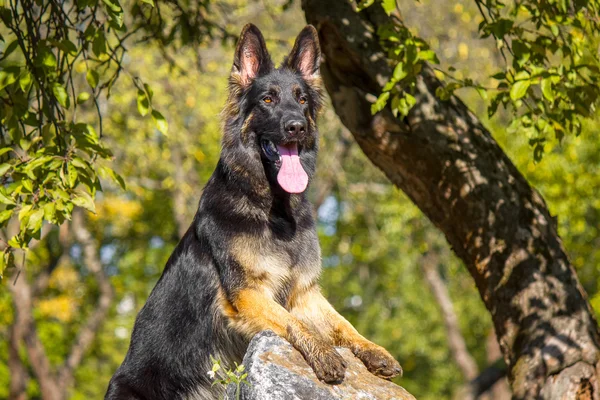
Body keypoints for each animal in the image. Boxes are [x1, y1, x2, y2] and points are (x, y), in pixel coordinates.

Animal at [105, 25, 400, 400]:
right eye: (268, 100)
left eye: (302, 100)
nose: (296, 126)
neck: (274, 211)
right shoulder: (247, 294)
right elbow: (293, 322)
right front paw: (324, 354)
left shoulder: (304, 291)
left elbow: (342, 323)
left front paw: (374, 350)